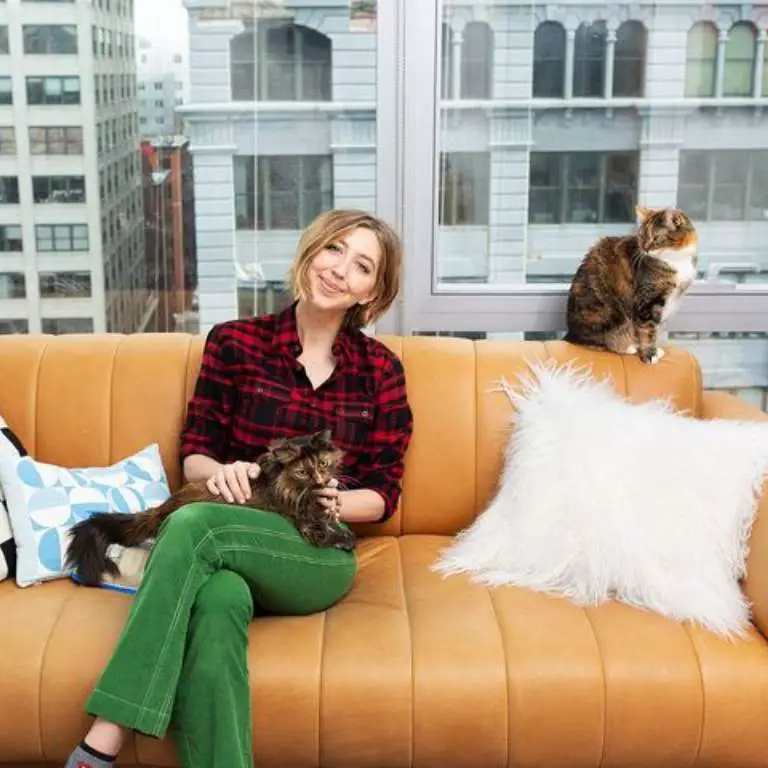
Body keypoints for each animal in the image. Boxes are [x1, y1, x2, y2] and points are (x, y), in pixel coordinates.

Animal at [64, 426, 356, 588]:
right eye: (303, 472)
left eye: (322, 464)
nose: (319, 480)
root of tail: (165, 507)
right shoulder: (306, 523)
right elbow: (327, 532)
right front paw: (346, 539)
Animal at [560, 206, 700, 364]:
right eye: (642, 236)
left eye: (656, 238)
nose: (645, 248)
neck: (676, 259)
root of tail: (570, 332)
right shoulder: (647, 300)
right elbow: (647, 329)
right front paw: (649, 354)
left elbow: (654, 329)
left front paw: (654, 349)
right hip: (604, 315)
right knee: (592, 341)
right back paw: (626, 347)